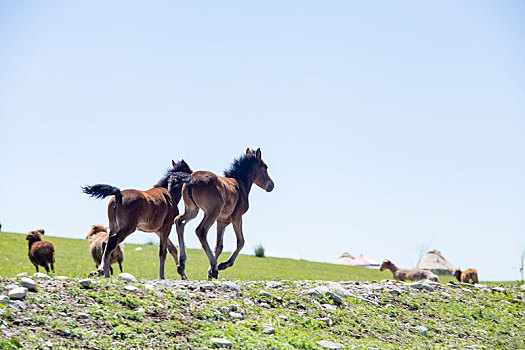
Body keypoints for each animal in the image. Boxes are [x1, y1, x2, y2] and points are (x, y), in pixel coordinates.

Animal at [174, 148, 276, 278]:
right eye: (265, 167)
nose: (271, 185)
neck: (240, 184)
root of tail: (192, 179)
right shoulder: (237, 217)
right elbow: (241, 241)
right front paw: (221, 266)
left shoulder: (222, 221)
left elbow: (219, 246)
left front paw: (210, 272)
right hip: (211, 213)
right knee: (200, 230)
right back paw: (214, 267)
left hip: (193, 210)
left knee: (179, 221)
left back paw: (181, 264)